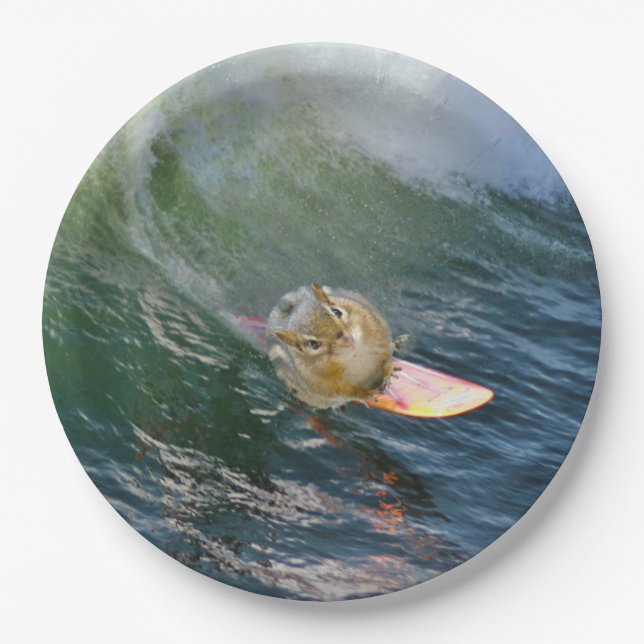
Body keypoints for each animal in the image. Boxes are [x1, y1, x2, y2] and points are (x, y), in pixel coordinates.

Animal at [266, 283, 408, 409]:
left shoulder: (377, 329)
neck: (355, 354)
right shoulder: (324, 385)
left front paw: (389, 369)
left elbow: (385, 354)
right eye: (313, 344)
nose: (347, 339)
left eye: (336, 312)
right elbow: (346, 392)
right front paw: (365, 394)